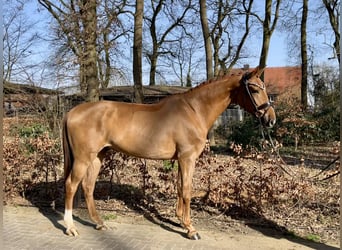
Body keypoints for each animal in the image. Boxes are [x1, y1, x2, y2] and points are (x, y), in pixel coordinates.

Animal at [61, 66, 276, 240]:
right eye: (255, 89)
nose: (271, 119)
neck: (194, 111)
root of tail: (72, 112)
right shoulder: (188, 158)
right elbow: (187, 190)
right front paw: (191, 229)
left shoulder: (181, 159)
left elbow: (180, 188)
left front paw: (180, 221)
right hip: (83, 158)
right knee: (71, 185)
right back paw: (70, 227)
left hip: (98, 156)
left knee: (88, 186)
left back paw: (99, 223)